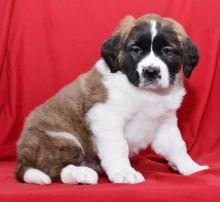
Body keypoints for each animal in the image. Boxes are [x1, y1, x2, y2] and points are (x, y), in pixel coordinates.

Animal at [15, 13, 208, 185]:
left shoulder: (164, 123)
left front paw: (192, 168)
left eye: (166, 51)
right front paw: (125, 173)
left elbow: (177, 146)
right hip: (63, 138)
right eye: (136, 50)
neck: (146, 93)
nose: (151, 72)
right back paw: (82, 174)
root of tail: (21, 159)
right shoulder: (105, 117)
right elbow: (118, 147)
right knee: (56, 170)